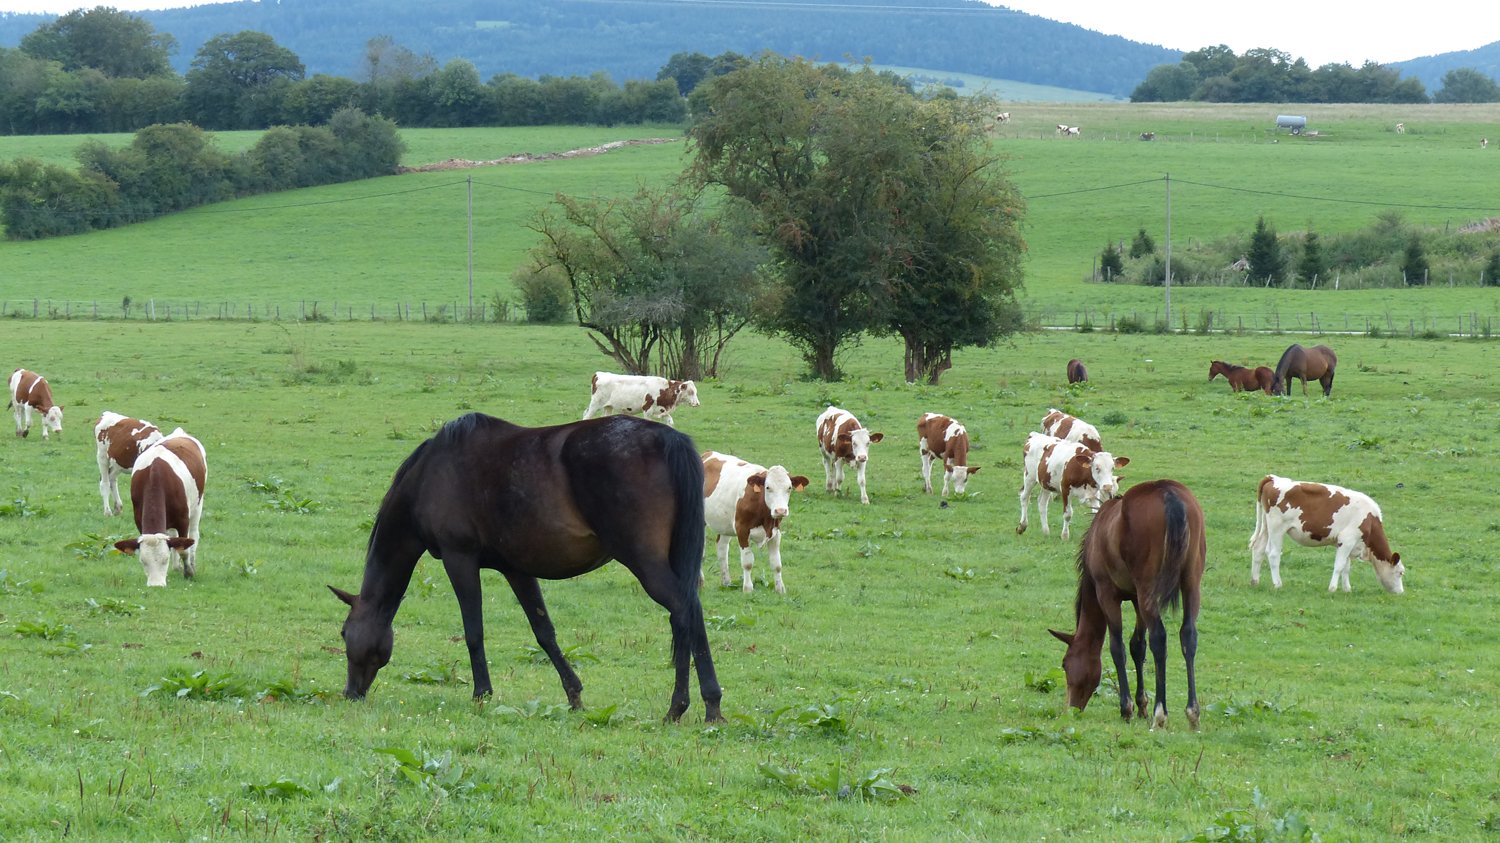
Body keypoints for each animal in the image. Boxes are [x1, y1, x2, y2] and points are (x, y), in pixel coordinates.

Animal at [114, 429, 207, 587]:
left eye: (165, 560)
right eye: (143, 561)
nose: (156, 586)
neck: (155, 476)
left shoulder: (183, 519)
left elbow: (184, 550)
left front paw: (188, 572)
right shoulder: (139, 520)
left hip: (198, 505)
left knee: (194, 535)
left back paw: (191, 564)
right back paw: (176, 567)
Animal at [329, 413, 723, 723]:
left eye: (344, 633)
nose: (350, 693)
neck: (431, 473)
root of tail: (667, 438)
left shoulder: (460, 559)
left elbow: (474, 631)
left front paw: (482, 694)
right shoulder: (517, 569)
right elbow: (544, 631)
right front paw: (574, 694)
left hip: (644, 561)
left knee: (683, 611)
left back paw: (684, 705)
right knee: (689, 614)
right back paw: (706, 704)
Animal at [701, 451, 809, 594]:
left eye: (789, 488)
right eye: (768, 487)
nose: (780, 510)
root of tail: (708, 453)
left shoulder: (776, 532)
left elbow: (776, 563)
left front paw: (780, 589)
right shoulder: (742, 529)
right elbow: (747, 562)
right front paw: (748, 588)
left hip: (725, 525)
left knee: (722, 550)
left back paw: (726, 582)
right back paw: (700, 582)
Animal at [1048, 479, 1205, 729]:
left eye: (1065, 663)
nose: (1070, 709)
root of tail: (1168, 492)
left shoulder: (1107, 594)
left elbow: (1118, 648)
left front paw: (1128, 708)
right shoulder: (1136, 599)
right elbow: (1137, 646)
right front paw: (1141, 705)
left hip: (1148, 589)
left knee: (1159, 638)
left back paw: (1160, 714)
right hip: (1190, 583)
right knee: (1188, 635)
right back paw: (1192, 712)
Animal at [1248, 475, 1404, 594]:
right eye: (1401, 572)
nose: (1401, 592)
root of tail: (1273, 478)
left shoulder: (1350, 543)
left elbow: (1346, 567)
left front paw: (1347, 589)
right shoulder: (1347, 539)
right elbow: (1339, 565)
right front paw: (1333, 588)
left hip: (1267, 526)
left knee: (1259, 549)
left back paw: (1255, 581)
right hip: (1277, 528)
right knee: (1273, 554)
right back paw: (1278, 584)